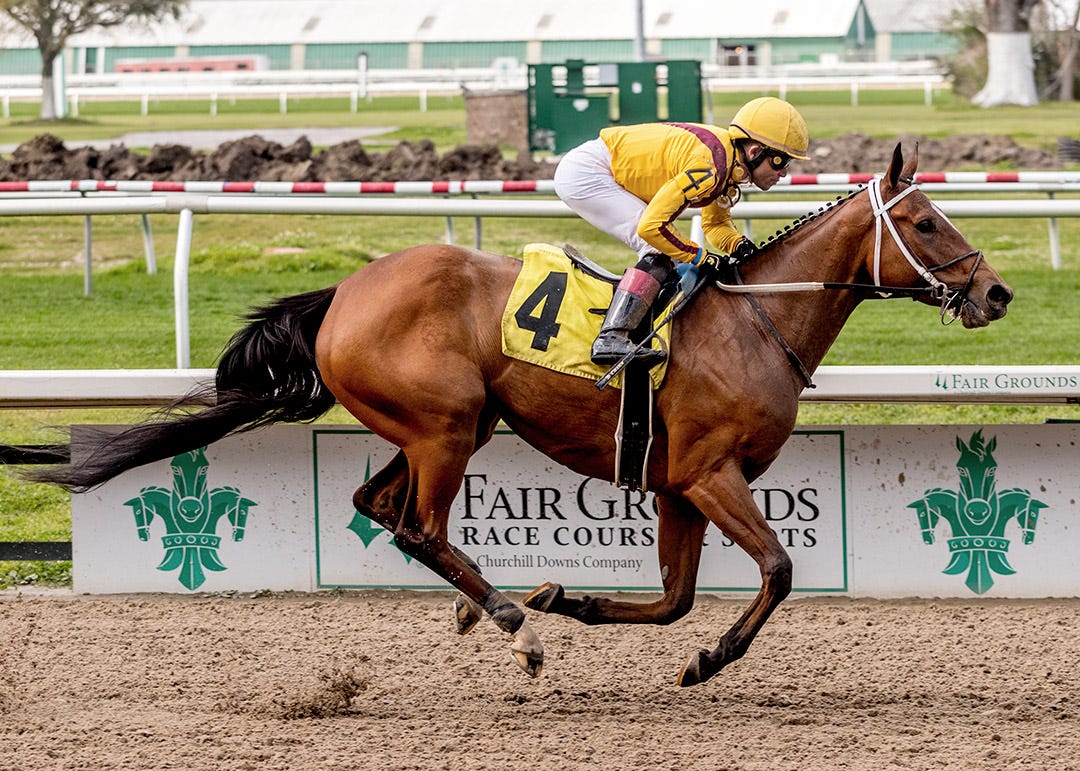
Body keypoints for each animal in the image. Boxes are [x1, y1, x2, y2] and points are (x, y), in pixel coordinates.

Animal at [29, 143, 1013, 686]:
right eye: (926, 222)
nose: (997, 293)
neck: (752, 321)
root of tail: (344, 292)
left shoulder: (674, 487)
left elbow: (673, 601)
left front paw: (570, 596)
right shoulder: (707, 473)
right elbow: (775, 569)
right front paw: (706, 659)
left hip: (446, 425)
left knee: (377, 507)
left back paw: (499, 605)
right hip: (445, 424)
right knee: (418, 526)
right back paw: (510, 624)